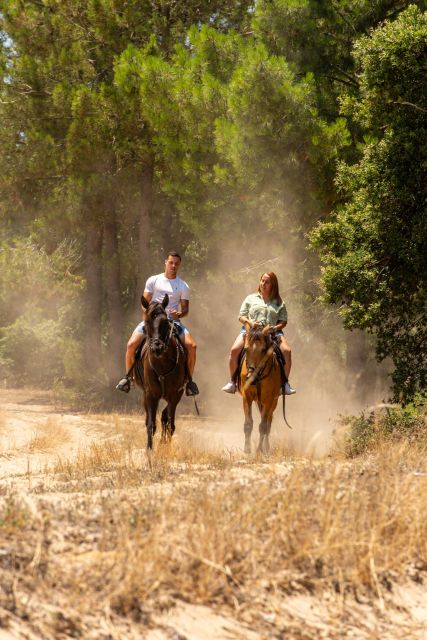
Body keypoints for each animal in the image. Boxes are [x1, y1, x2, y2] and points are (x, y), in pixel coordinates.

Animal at [135, 296, 186, 450]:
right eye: (146, 321)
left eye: (165, 322)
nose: (157, 347)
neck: (162, 364)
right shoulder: (151, 394)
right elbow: (151, 425)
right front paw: (149, 450)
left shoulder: (176, 394)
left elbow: (170, 423)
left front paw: (166, 447)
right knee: (150, 419)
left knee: (165, 416)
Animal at [239, 324, 282, 456]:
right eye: (246, 349)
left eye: (263, 350)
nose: (251, 377)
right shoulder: (246, 397)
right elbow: (248, 424)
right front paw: (247, 449)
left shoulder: (268, 400)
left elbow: (263, 426)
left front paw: (259, 450)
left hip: (273, 402)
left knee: (268, 422)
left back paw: (266, 448)